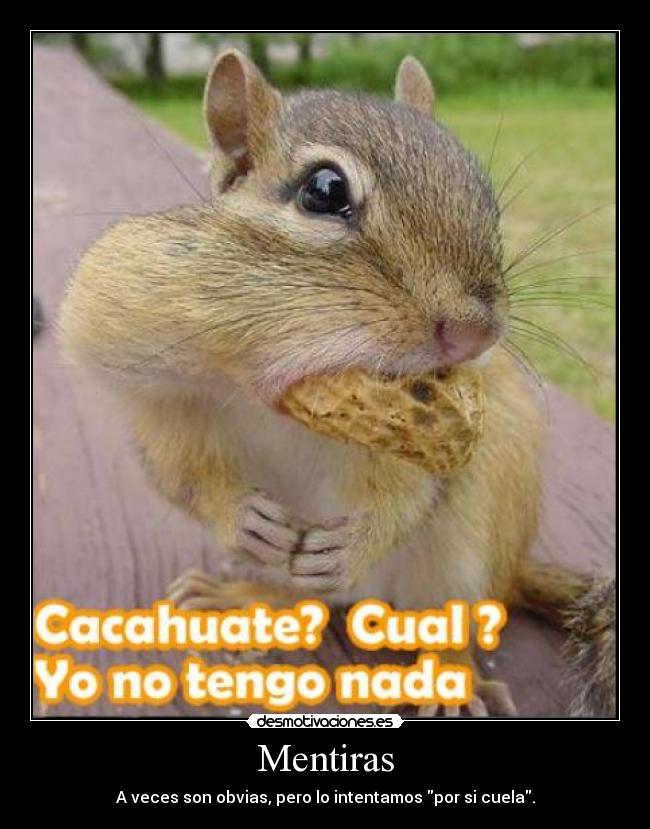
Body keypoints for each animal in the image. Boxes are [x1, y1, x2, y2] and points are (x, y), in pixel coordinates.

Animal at [59, 49, 615, 717]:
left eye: (483, 191)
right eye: (324, 191)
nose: (474, 333)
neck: (269, 390)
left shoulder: (414, 433)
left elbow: (407, 495)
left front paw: (360, 540)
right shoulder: (158, 393)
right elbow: (180, 475)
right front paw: (237, 516)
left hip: (469, 544)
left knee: (448, 612)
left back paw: (447, 672)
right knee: (309, 601)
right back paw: (249, 597)